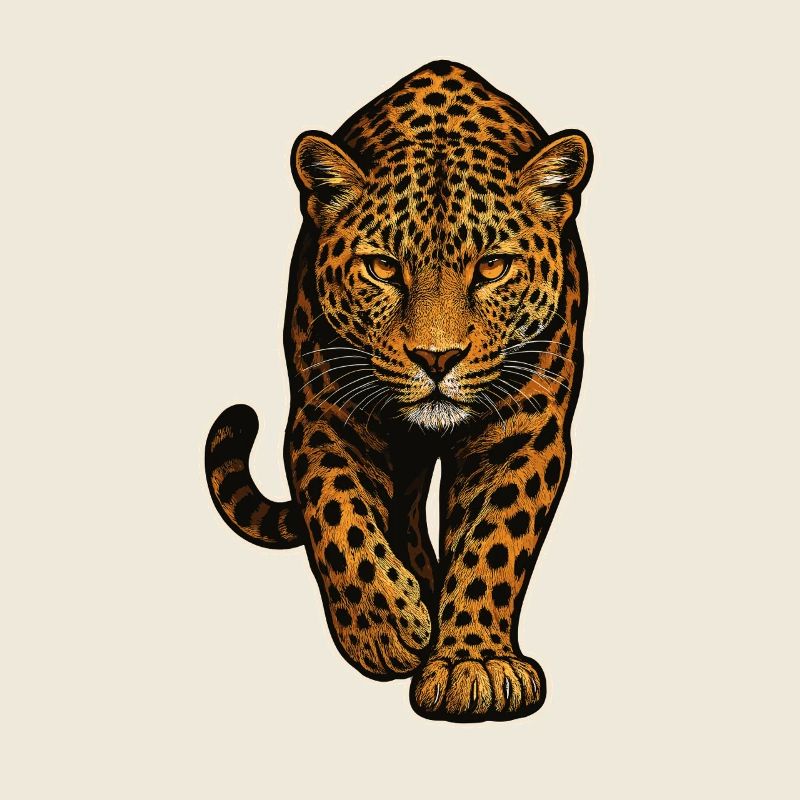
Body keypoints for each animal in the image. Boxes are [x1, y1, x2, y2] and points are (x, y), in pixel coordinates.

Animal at [205, 60, 591, 722]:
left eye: (492, 267)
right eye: (383, 267)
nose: (437, 358)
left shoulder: (525, 427)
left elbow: (494, 541)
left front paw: (473, 665)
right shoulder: (327, 414)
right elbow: (339, 515)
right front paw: (386, 631)